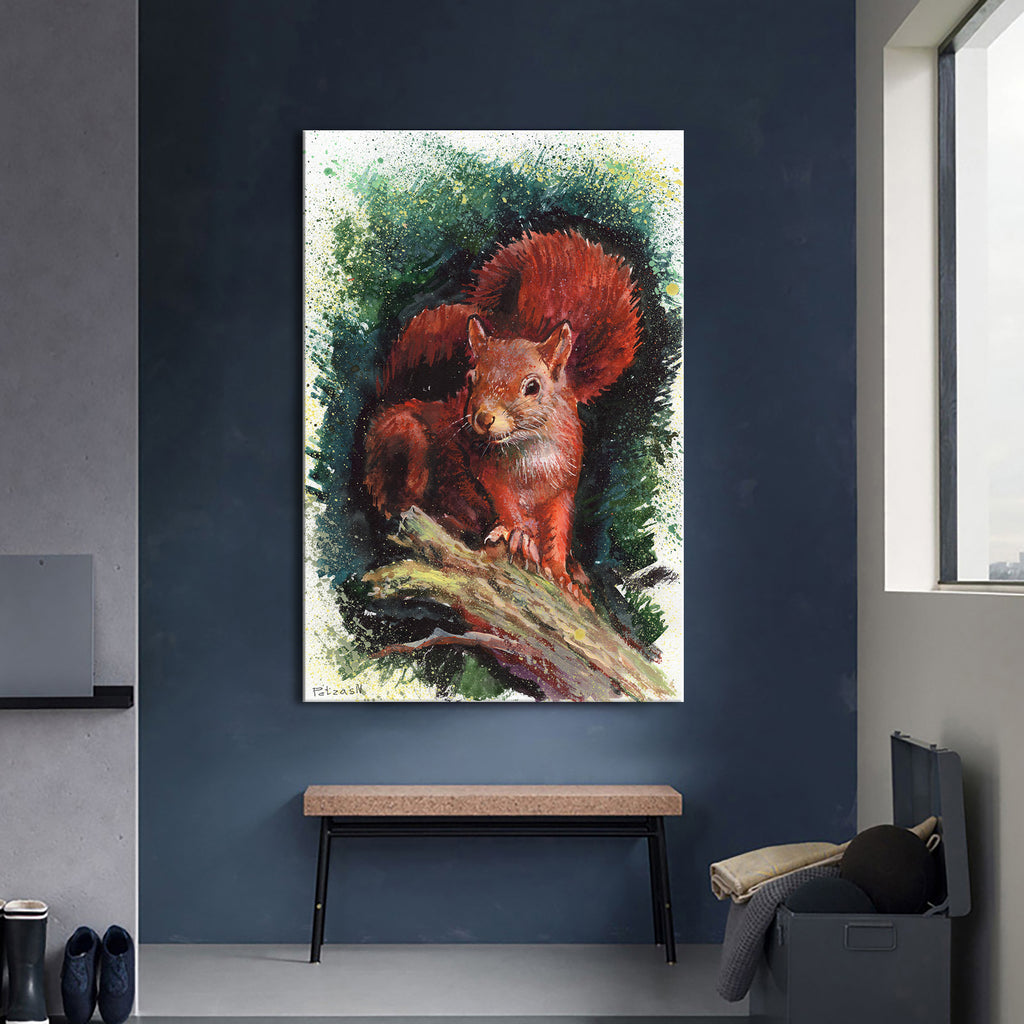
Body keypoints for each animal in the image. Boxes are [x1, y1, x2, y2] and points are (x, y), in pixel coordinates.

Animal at [363, 228, 641, 600]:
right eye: (471, 378)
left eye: (533, 386)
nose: (483, 419)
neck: (529, 446)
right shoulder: (482, 466)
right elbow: (500, 498)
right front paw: (517, 531)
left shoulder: (564, 484)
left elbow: (559, 529)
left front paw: (561, 572)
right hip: (406, 441)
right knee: (401, 503)